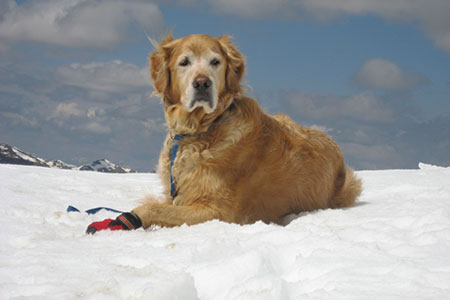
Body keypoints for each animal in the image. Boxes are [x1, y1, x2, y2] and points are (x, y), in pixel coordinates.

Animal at [130, 32, 362, 229]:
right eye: (184, 62)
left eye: (215, 62)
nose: (202, 83)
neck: (203, 128)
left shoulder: (220, 211)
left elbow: (150, 208)